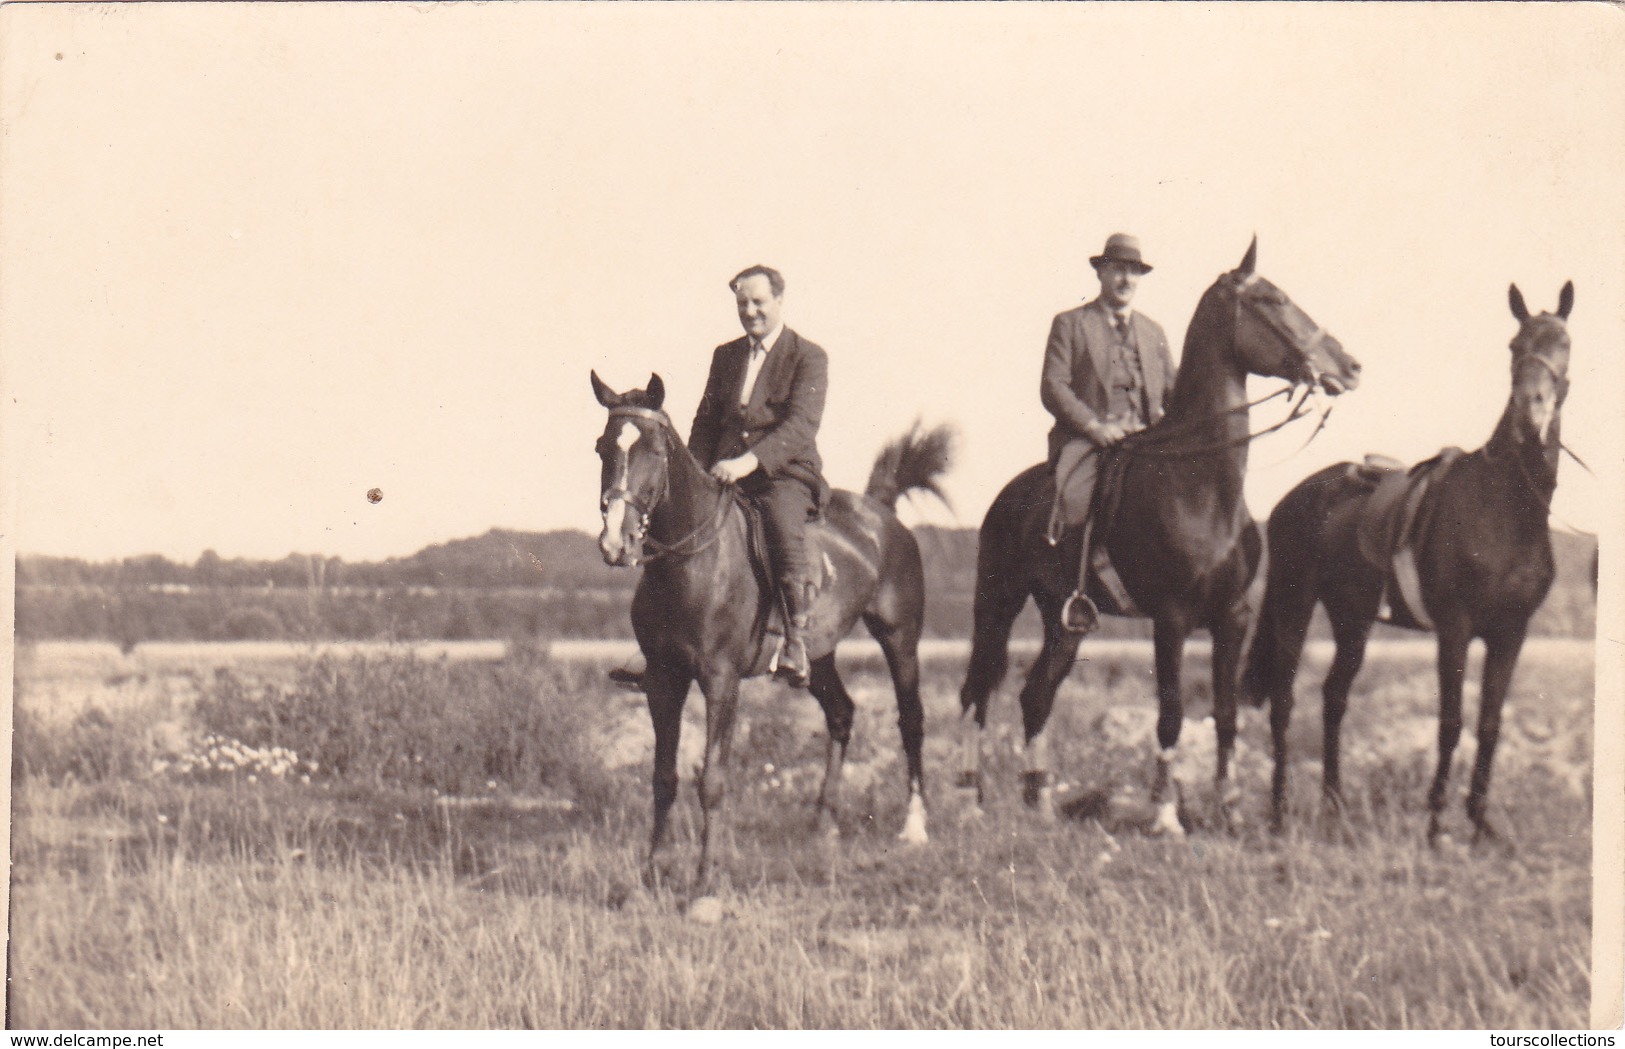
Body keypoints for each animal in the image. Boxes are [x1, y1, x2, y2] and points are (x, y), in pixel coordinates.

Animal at [588, 373, 949, 889]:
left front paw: (704, 881)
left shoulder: (721, 683)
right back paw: (824, 822)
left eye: (654, 451)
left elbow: (712, 780)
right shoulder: (663, 682)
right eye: (602, 448)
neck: (691, 564)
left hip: (900, 638)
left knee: (911, 721)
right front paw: (652, 871)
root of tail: (880, 512)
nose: (616, 544)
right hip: (818, 656)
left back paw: (914, 826)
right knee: (841, 714)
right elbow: (663, 777)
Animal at [955, 238, 1365, 837]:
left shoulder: (1232, 617)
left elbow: (1224, 714)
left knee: (1035, 697)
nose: (1350, 366)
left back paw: (1042, 803)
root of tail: (1008, 495)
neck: (1199, 485)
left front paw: (1229, 809)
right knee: (977, 692)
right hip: (997, 603)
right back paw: (971, 800)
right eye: (1273, 299)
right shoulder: (1170, 619)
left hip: (1065, 622)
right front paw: (1166, 813)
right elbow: (1170, 713)